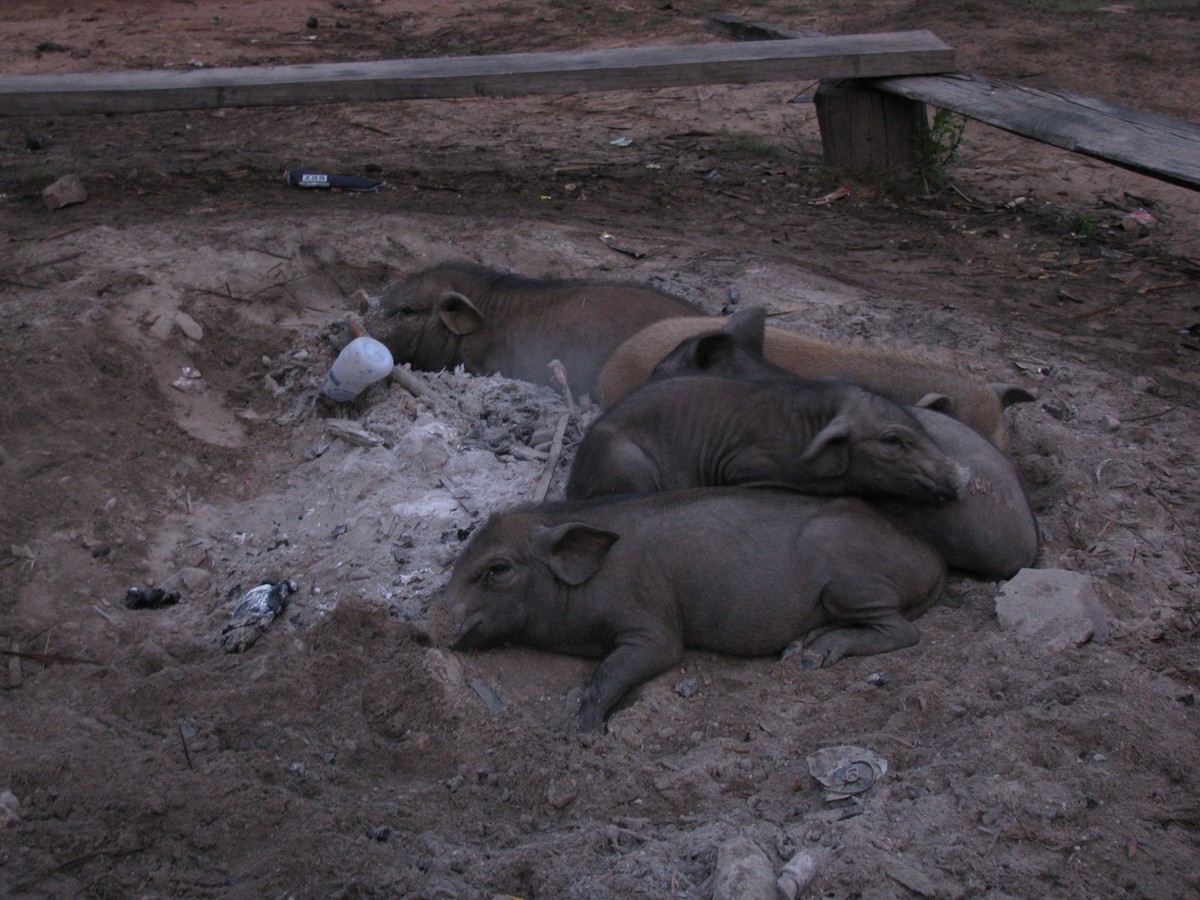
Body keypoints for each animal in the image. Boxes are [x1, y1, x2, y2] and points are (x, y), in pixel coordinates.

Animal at [447, 489, 946, 731]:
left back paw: (815, 656)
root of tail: (932, 559)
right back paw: (797, 650)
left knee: (903, 631)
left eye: (498, 569)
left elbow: (615, 668)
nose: (438, 619)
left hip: (851, 583)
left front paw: (582, 732)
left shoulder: (654, 625)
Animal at [565, 366, 969, 505]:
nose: (962, 474)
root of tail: (573, 483)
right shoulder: (745, 466)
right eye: (892, 441)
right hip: (629, 466)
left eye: (920, 427)